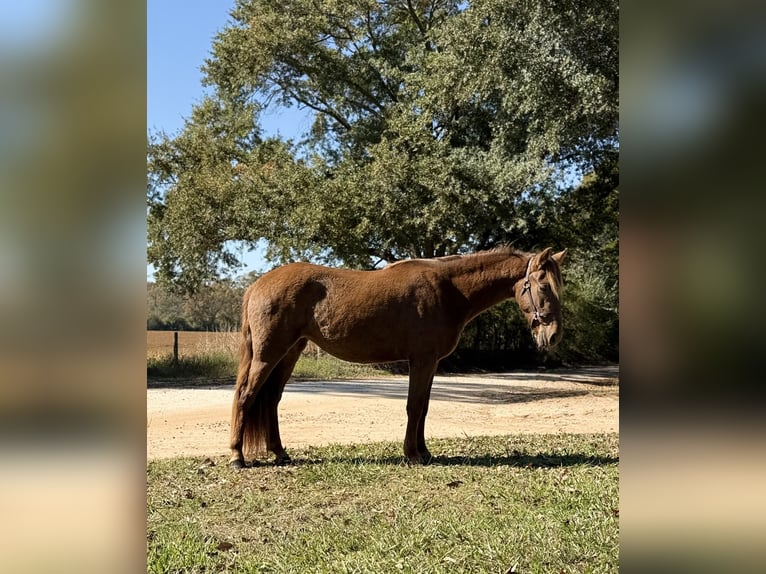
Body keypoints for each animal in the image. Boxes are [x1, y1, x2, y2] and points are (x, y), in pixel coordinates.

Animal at [229, 245, 566, 467]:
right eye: (544, 286)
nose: (552, 336)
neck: (449, 289)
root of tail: (258, 284)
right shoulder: (422, 359)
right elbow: (414, 407)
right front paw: (412, 454)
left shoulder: (431, 363)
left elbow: (424, 408)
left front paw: (424, 451)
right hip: (268, 354)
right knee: (246, 396)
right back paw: (237, 456)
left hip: (290, 353)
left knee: (271, 400)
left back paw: (280, 453)